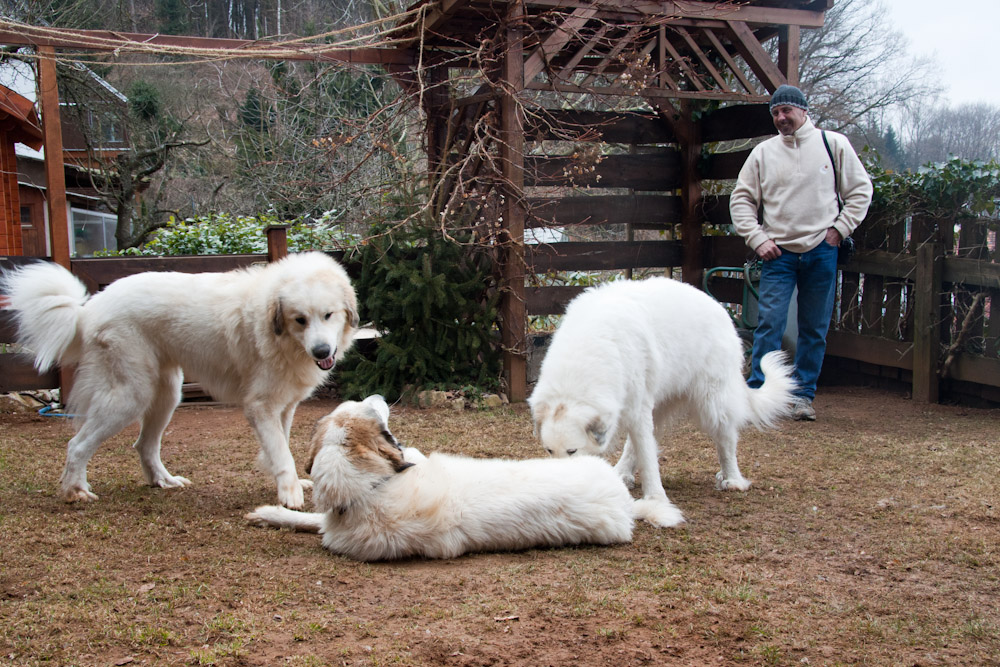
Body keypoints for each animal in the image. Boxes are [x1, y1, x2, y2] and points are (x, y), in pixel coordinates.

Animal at [0, 253, 358, 508]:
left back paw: (163, 481)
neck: (278, 330)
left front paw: (288, 483)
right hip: (130, 396)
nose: (322, 351)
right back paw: (75, 491)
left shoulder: (283, 407)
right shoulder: (261, 407)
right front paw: (290, 492)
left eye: (328, 315)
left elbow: (279, 445)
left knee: (144, 445)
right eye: (300, 320)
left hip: (166, 395)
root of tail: (89, 308)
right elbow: (282, 452)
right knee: (77, 445)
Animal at [528, 276, 792, 528]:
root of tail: (718, 306)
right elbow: (642, 449)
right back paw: (621, 473)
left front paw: (656, 499)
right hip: (659, 403)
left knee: (726, 439)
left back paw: (733, 479)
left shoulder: (637, 409)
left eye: (572, 451)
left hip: (712, 402)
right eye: (549, 450)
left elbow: (648, 458)